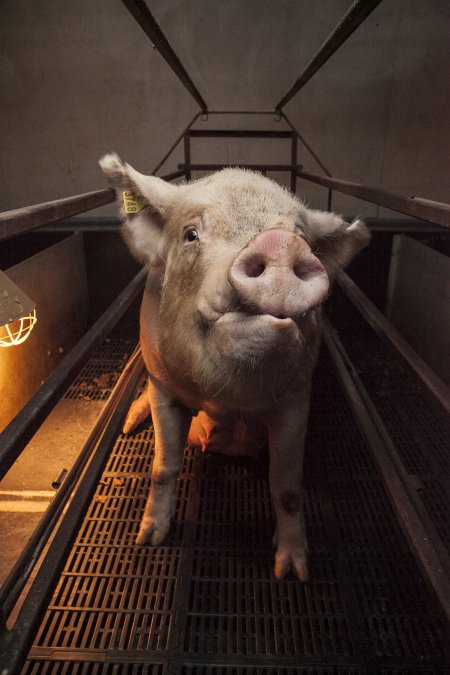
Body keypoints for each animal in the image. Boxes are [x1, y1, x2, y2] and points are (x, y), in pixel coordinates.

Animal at [99, 153, 370, 580]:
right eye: (191, 234)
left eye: (303, 239)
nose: (280, 243)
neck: (226, 401)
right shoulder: (164, 386)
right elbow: (164, 467)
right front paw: (149, 539)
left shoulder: (296, 397)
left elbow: (287, 487)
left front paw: (292, 571)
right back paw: (129, 423)